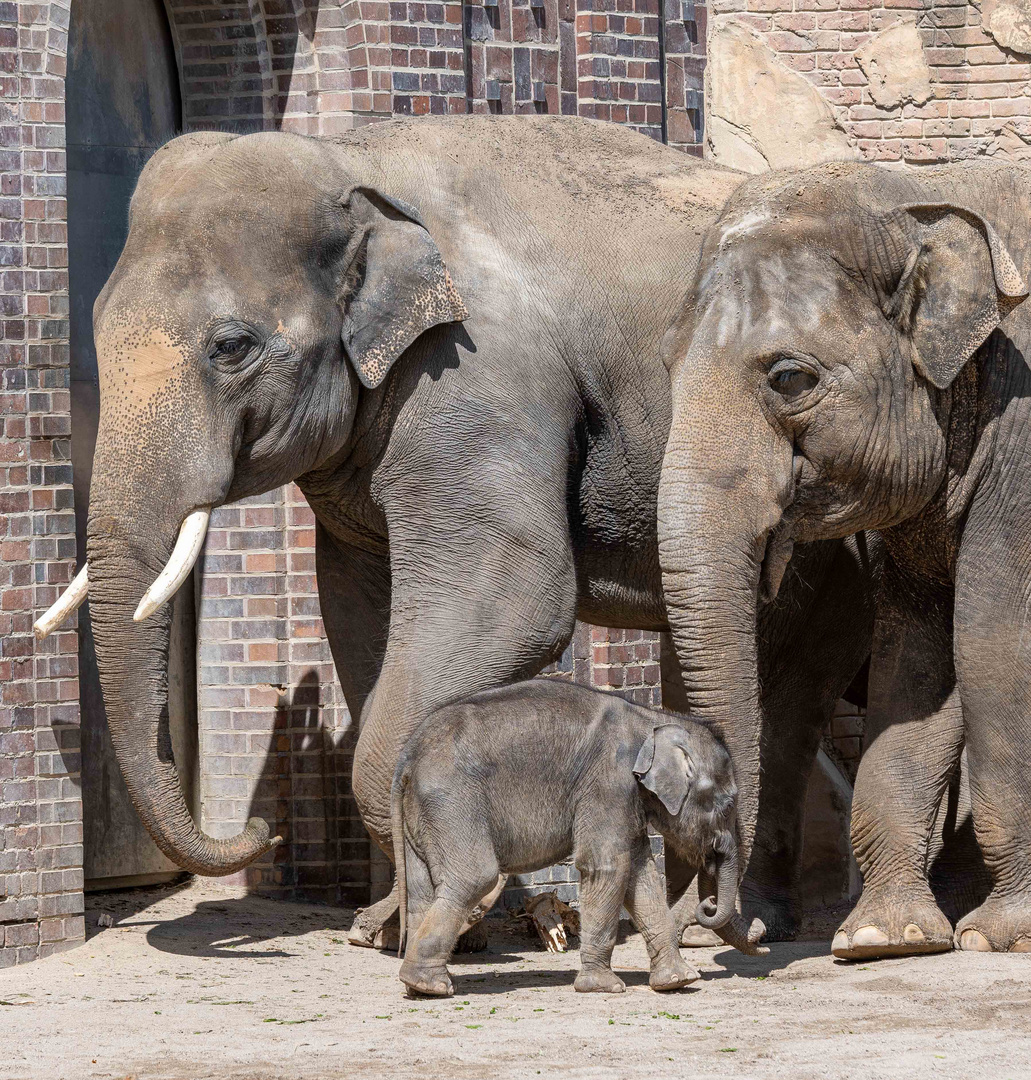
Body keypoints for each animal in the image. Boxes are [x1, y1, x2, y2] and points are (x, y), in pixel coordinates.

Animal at [36, 120, 876, 946]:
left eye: (231, 346)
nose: (255, 829)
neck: (356, 157)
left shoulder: (473, 381)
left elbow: (513, 597)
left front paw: (444, 918)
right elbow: (358, 613)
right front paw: (391, 927)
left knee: (786, 674)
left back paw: (731, 927)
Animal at [390, 678, 755, 997]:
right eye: (727, 805)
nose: (709, 904)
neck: (653, 719)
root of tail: (407, 756)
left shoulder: (627, 799)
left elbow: (642, 876)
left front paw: (679, 981)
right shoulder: (608, 784)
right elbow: (606, 867)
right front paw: (605, 987)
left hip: (425, 816)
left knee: (423, 889)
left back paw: (421, 987)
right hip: (452, 802)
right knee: (474, 877)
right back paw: (430, 986)